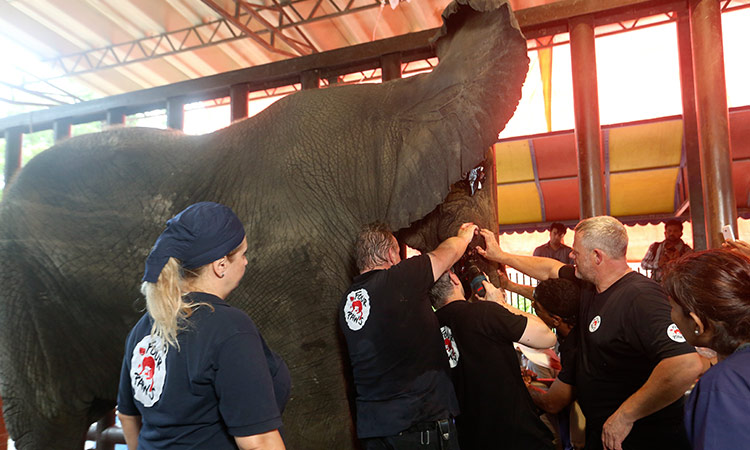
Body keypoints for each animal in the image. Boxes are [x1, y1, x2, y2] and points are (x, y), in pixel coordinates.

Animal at [0, 0, 528, 448]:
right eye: (478, 180)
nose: (480, 249)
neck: (391, 101)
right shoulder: (292, 271)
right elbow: (318, 422)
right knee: (50, 421)